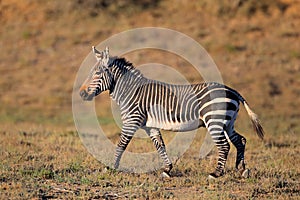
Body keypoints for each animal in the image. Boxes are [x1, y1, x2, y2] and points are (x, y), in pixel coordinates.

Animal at [78, 46, 264, 178]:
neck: (130, 91)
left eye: (97, 73)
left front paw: (110, 167)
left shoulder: (132, 121)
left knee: (224, 146)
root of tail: (232, 90)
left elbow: (121, 145)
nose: (81, 94)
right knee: (240, 140)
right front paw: (167, 169)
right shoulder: (150, 126)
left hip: (214, 121)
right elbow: (160, 145)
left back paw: (216, 174)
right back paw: (242, 170)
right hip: (227, 122)